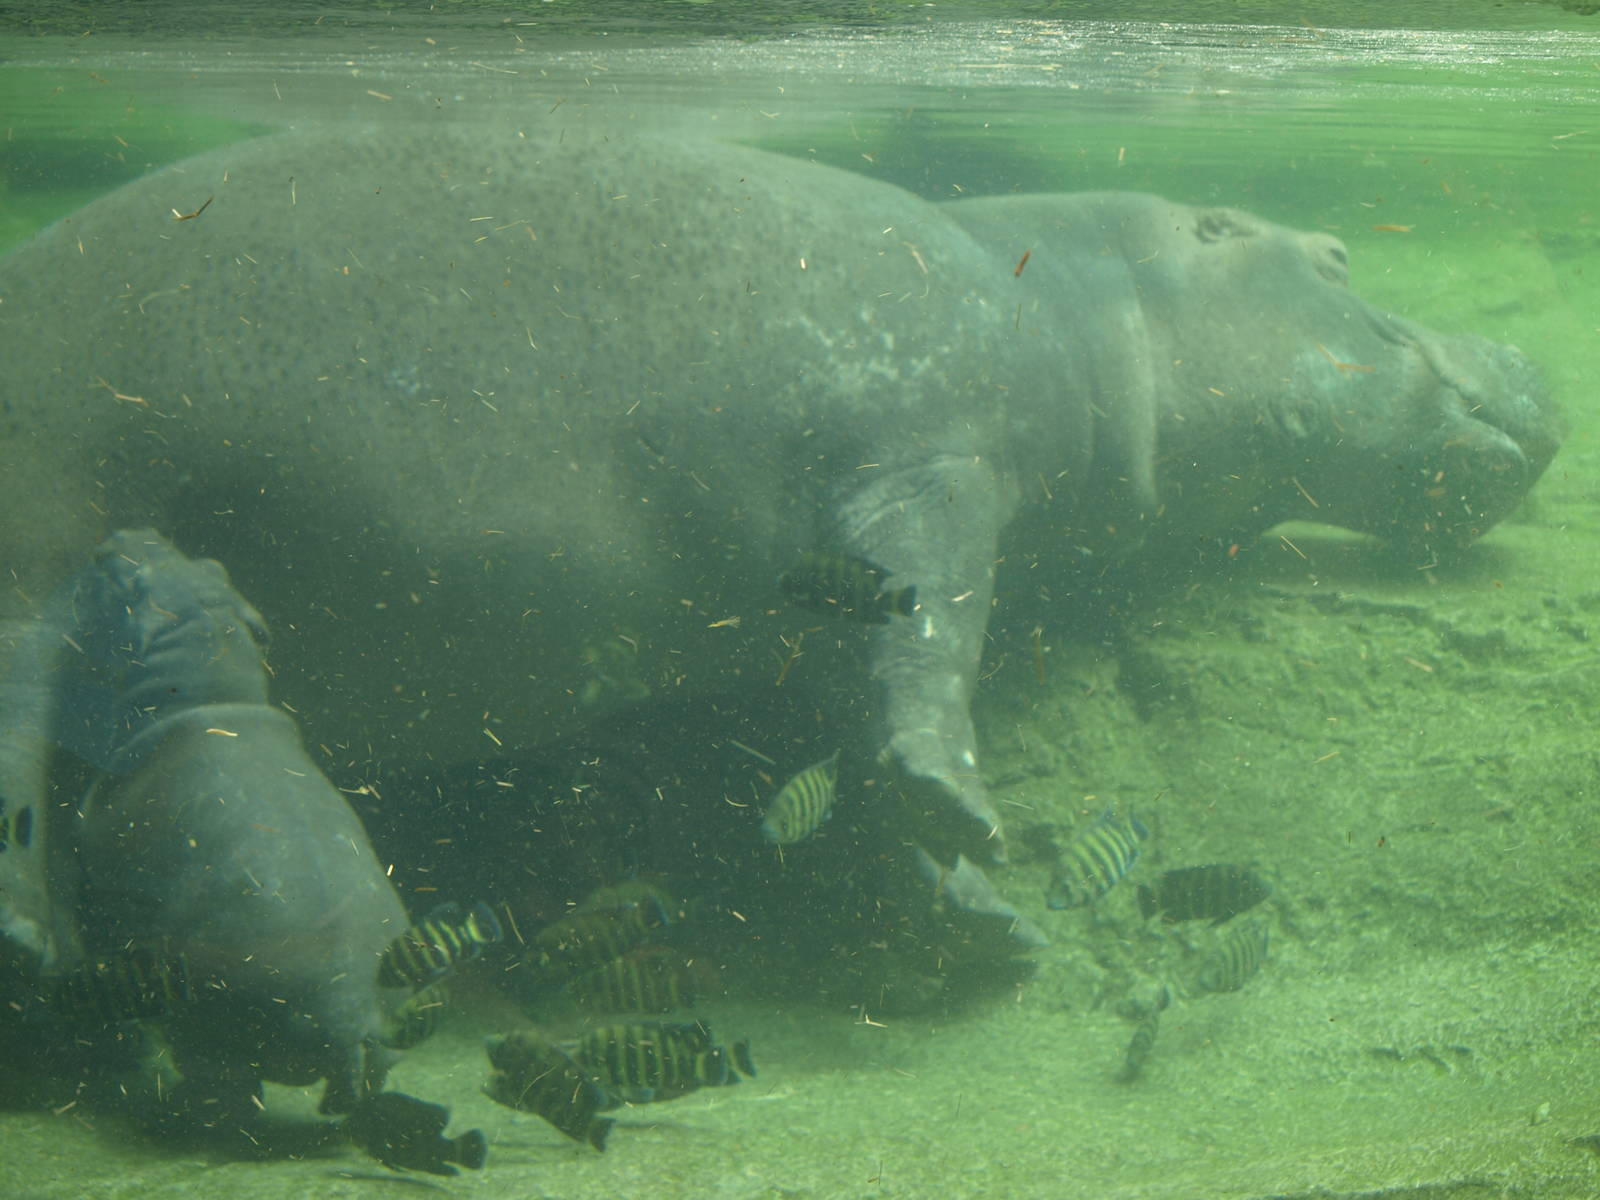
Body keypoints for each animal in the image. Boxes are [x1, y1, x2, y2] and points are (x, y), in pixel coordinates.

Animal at [0, 128, 1561, 951]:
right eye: (1338, 257)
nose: (1533, 367)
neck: (1091, 297)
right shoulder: (931, 470)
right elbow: (929, 653)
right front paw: (973, 836)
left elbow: (853, 723)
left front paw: (965, 914)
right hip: (40, 556)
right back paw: (41, 947)